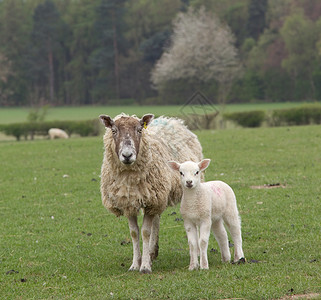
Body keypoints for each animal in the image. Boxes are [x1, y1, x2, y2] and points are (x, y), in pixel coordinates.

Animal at [99, 113, 202, 274]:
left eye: (139, 130)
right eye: (113, 130)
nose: (127, 155)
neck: (129, 179)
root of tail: (171, 120)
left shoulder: (150, 202)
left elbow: (145, 232)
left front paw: (145, 266)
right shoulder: (129, 202)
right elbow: (134, 233)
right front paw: (135, 264)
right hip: (157, 196)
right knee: (156, 219)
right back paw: (152, 252)